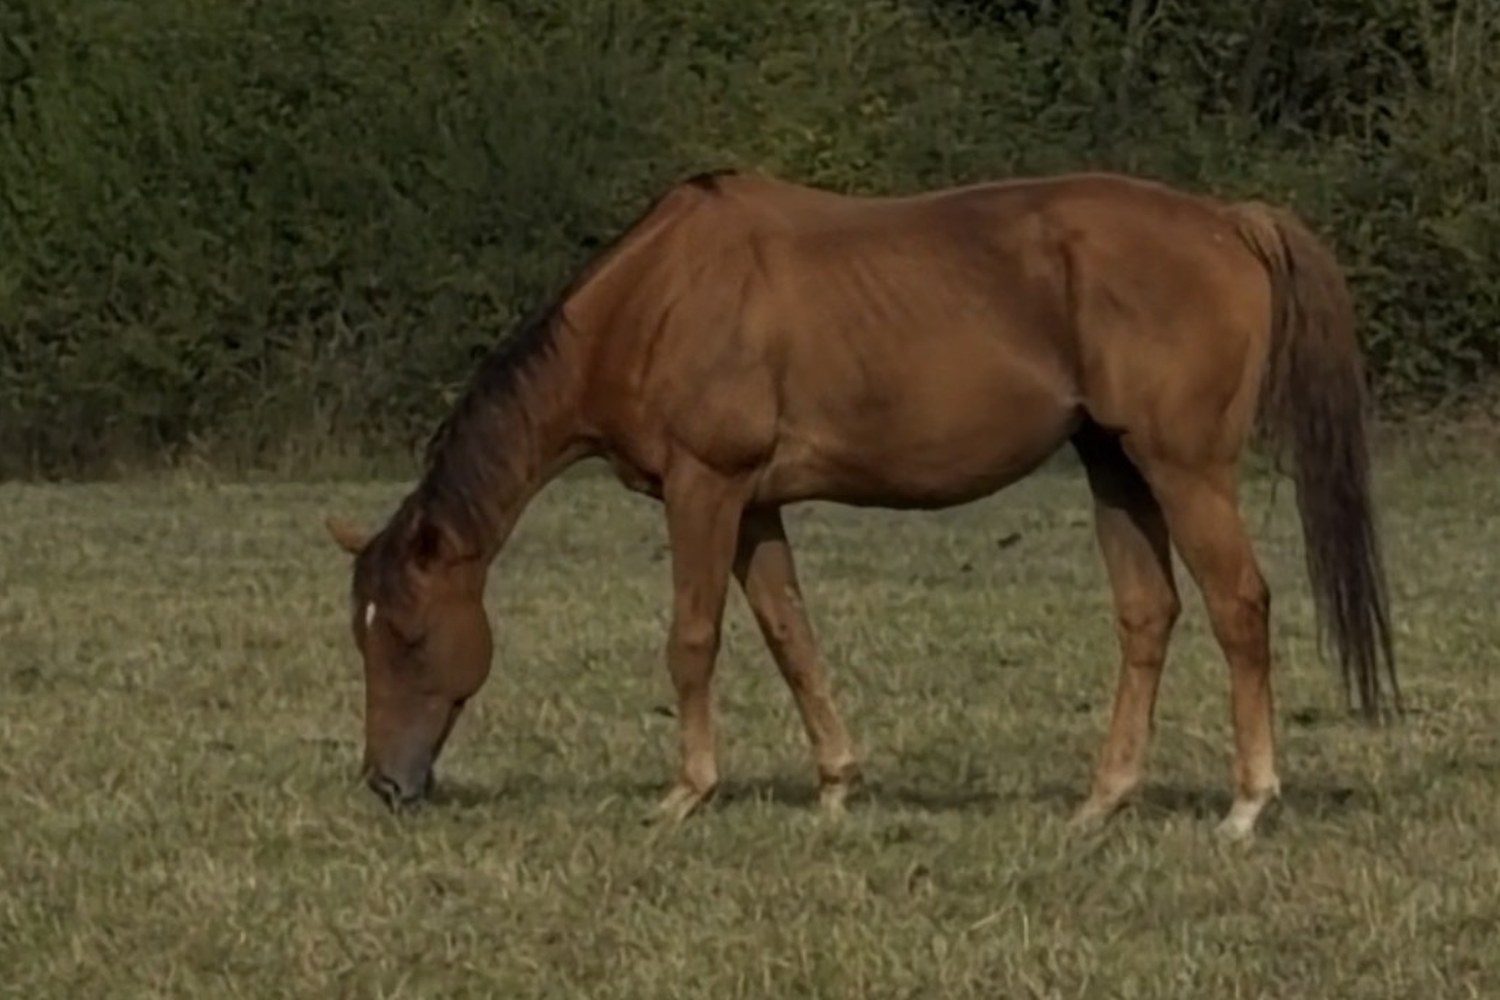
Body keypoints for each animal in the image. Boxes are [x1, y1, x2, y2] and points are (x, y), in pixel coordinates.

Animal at [324, 167, 1399, 840]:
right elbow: (790, 634)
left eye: (409, 635)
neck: (659, 298)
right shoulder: (753, 507)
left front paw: (685, 792)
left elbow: (693, 639)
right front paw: (836, 785)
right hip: (1116, 467)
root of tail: (1230, 221)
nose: (385, 782)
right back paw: (1103, 800)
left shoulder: (704, 488)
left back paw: (1248, 804)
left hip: (1185, 468)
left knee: (1239, 607)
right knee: (1149, 614)